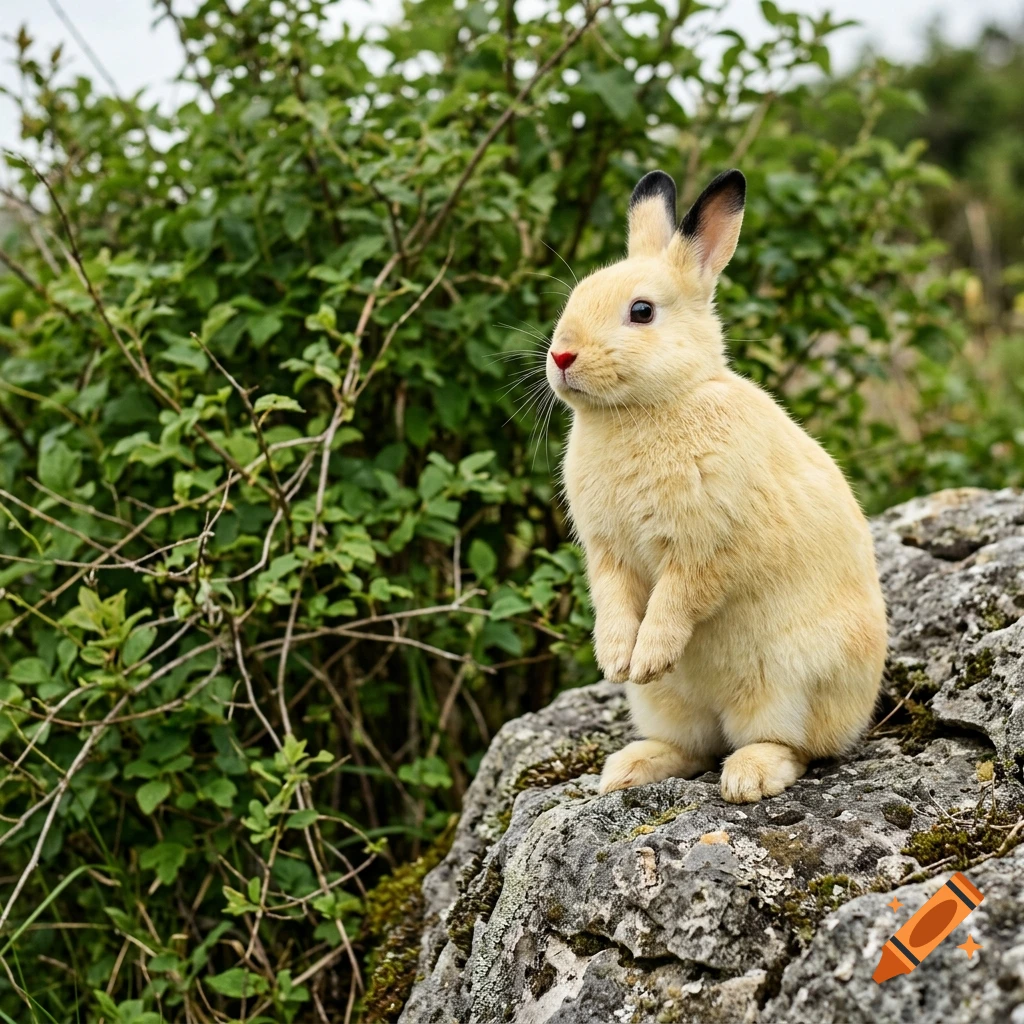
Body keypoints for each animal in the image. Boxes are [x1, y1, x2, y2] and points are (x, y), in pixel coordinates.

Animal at [545, 168, 888, 803]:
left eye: (642, 311)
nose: (561, 355)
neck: (651, 405)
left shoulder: (705, 549)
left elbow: (676, 601)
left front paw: (648, 655)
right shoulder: (607, 556)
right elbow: (613, 603)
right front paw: (616, 660)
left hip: (787, 685)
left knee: (792, 747)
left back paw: (748, 778)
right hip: (666, 705)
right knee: (694, 746)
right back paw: (628, 769)